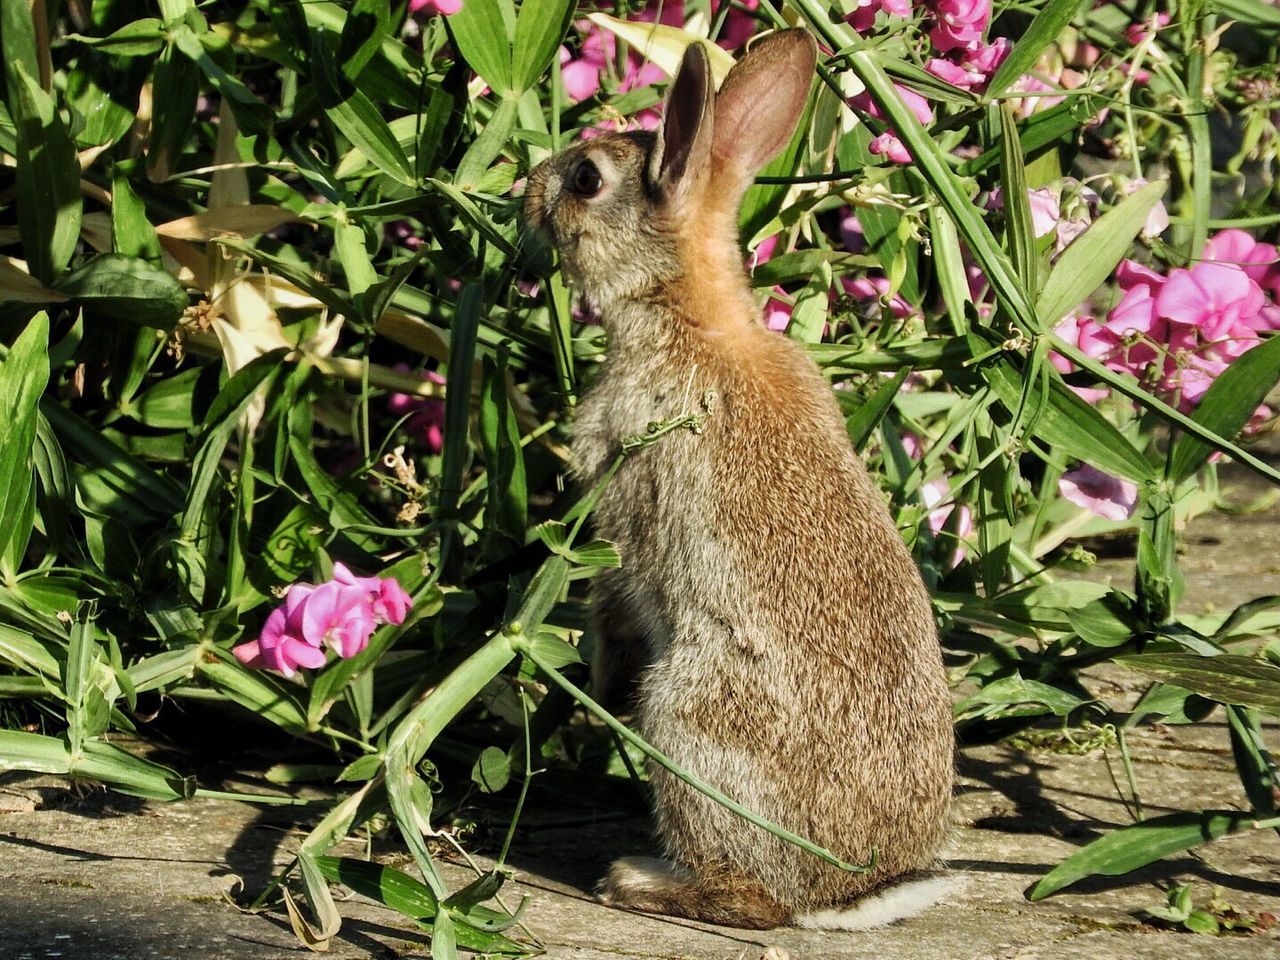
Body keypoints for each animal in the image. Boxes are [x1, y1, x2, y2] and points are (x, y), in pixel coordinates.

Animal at [519, 30, 952, 931]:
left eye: (587, 180)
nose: (529, 187)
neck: (686, 311)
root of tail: (843, 889)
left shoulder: (627, 507)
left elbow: (614, 592)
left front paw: (597, 683)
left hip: (686, 719)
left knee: (748, 900)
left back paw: (637, 880)